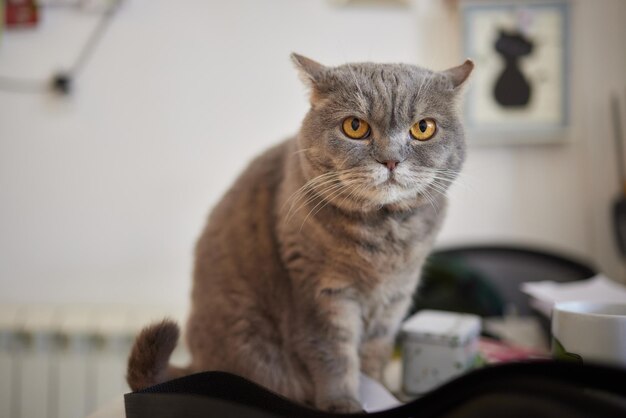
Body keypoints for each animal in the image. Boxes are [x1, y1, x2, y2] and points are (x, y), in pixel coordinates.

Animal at [125, 51, 468, 412]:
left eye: (423, 128)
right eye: (355, 126)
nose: (391, 160)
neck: (385, 236)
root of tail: (195, 365)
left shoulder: (395, 300)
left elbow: (374, 357)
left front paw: (383, 394)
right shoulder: (321, 295)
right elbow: (334, 358)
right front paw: (345, 404)